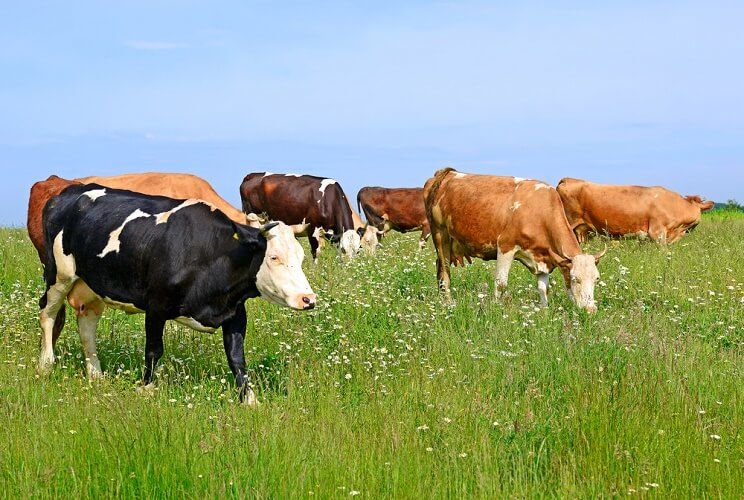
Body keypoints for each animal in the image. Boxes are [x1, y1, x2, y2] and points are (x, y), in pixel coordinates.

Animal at [39, 186, 316, 404]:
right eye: (274, 257)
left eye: (302, 257)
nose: (309, 299)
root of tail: (69, 192)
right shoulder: (155, 306)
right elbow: (154, 350)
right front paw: (146, 389)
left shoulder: (235, 312)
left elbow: (237, 358)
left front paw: (249, 400)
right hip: (59, 275)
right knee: (47, 313)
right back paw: (45, 364)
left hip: (92, 286)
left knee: (87, 324)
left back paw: (96, 374)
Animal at [422, 168, 608, 312]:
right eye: (576, 279)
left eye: (597, 279)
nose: (591, 310)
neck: (539, 211)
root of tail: (447, 174)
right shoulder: (506, 246)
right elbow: (500, 283)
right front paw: (496, 309)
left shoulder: (543, 257)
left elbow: (543, 288)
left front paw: (544, 312)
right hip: (440, 234)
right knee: (445, 272)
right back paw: (448, 302)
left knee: (440, 268)